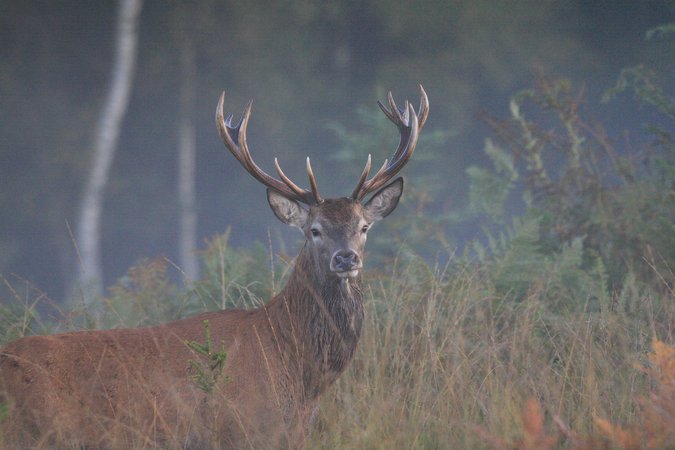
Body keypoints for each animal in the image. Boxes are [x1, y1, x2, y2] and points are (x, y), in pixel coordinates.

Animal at [0, 86, 428, 449]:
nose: (346, 258)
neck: (298, 371)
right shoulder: (241, 429)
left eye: (364, 226)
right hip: (40, 432)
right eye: (315, 230)